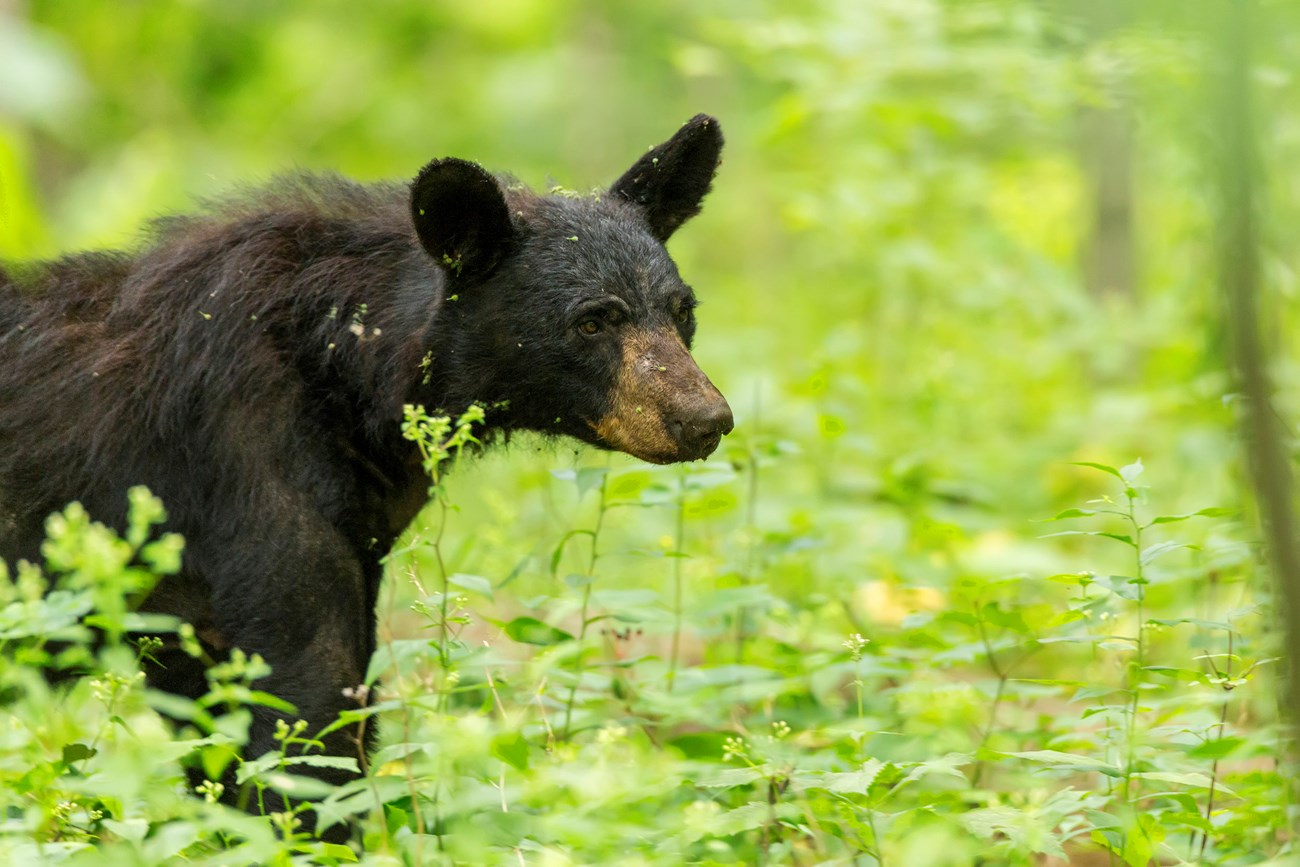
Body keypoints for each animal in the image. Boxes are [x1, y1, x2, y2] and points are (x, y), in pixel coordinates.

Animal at [0, 113, 733, 831]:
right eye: (591, 322)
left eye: (683, 309)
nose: (705, 418)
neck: (347, 374)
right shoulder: (246, 468)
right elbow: (307, 705)